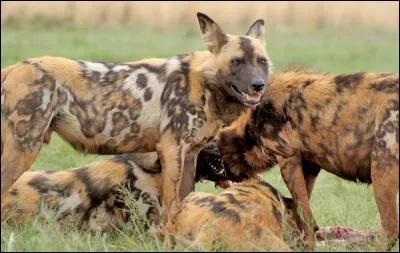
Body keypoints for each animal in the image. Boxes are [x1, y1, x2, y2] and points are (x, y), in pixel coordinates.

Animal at [0, 12, 272, 229]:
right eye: (236, 62)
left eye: (263, 62)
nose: (258, 85)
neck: (205, 84)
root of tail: (13, 68)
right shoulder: (172, 150)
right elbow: (171, 206)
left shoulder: (189, 155)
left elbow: (183, 202)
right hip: (24, 149)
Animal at [217, 68, 398, 250]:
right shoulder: (309, 167)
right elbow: (300, 210)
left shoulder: (288, 159)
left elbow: (305, 215)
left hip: (381, 172)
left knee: (390, 230)